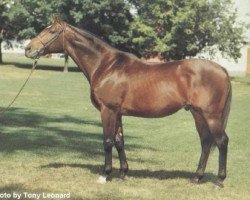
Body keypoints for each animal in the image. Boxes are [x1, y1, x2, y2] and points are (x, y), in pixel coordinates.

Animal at [24, 18, 231, 185]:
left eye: (51, 31)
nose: (28, 49)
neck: (106, 66)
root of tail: (222, 69)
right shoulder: (117, 113)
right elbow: (119, 141)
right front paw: (123, 173)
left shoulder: (107, 110)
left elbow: (107, 141)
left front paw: (105, 175)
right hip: (198, 114)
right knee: (206, 142)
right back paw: (196, 177)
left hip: (211, 115)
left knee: (221, 141)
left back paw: (219, 180)